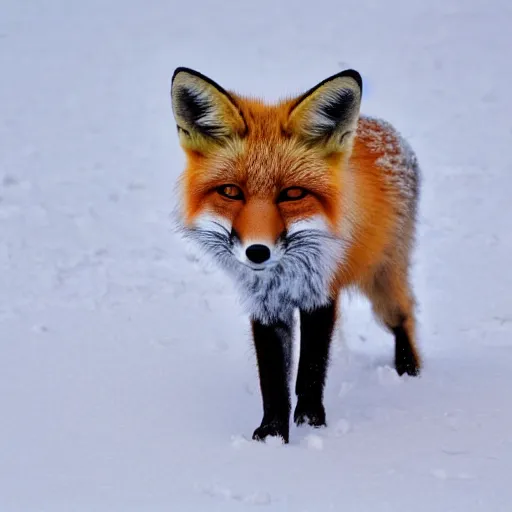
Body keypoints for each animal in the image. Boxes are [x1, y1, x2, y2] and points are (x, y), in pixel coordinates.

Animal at [170, 67, 422, 444]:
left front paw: (311, 423)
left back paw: (408, 370)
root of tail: (383, 128)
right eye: (230, 191)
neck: (284, 273)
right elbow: (273, 378)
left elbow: (311, 369)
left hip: (382, 278)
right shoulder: (265, 303)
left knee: (403, 316)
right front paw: (273, 436)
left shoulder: (320, 293)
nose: (257, 252)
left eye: (292, 194)